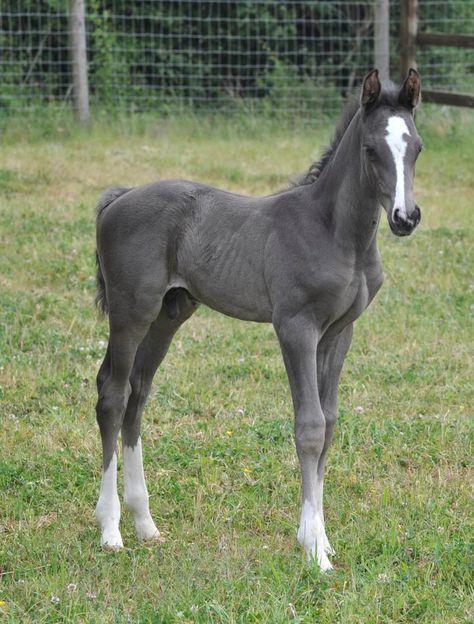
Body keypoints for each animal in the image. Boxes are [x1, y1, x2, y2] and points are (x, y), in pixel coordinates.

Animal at [93, 68, 422, 572]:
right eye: (371, 149)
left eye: (417, 147)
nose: (406, 218)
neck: (334, 232)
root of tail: (119, 197)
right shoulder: (296, 327)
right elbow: (309, 427)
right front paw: (315, 553)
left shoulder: (339, 333)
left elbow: (329, 423)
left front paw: (319, 539)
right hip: (133, 310)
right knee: (112, 394)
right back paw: (111, 530)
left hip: (170, 313)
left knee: (137, 392)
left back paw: (145, 524)